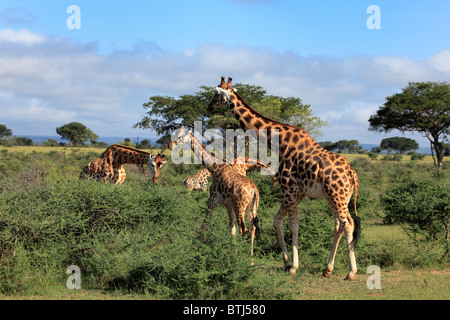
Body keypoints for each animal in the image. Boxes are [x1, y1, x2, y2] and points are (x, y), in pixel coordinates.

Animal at [169, 125, 260, 258]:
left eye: (180, 136)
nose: (170, 145)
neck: (213, 167)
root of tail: (254, 190)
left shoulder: (212, 199)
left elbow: (204, 225)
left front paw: (197, 248)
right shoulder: (229, 205)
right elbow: (231, 229)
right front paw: (233, 250)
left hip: (240, 206)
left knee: (244, 229)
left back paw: (242, 257)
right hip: (251, 207)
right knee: (252, 228)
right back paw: (251, 257)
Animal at [208, 77, 362, 280]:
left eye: (217, 94)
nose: (208, 107)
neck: (278, 142)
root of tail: (352, 175)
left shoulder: (288, 189)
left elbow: (293, 226)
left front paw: (294, 266)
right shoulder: (296, 193)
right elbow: (277, 221)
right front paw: (286, 260)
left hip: (337, 195)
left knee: (348, 224)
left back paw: (351, 272)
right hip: (336, 197)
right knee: (339, 225)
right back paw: (327, 269)